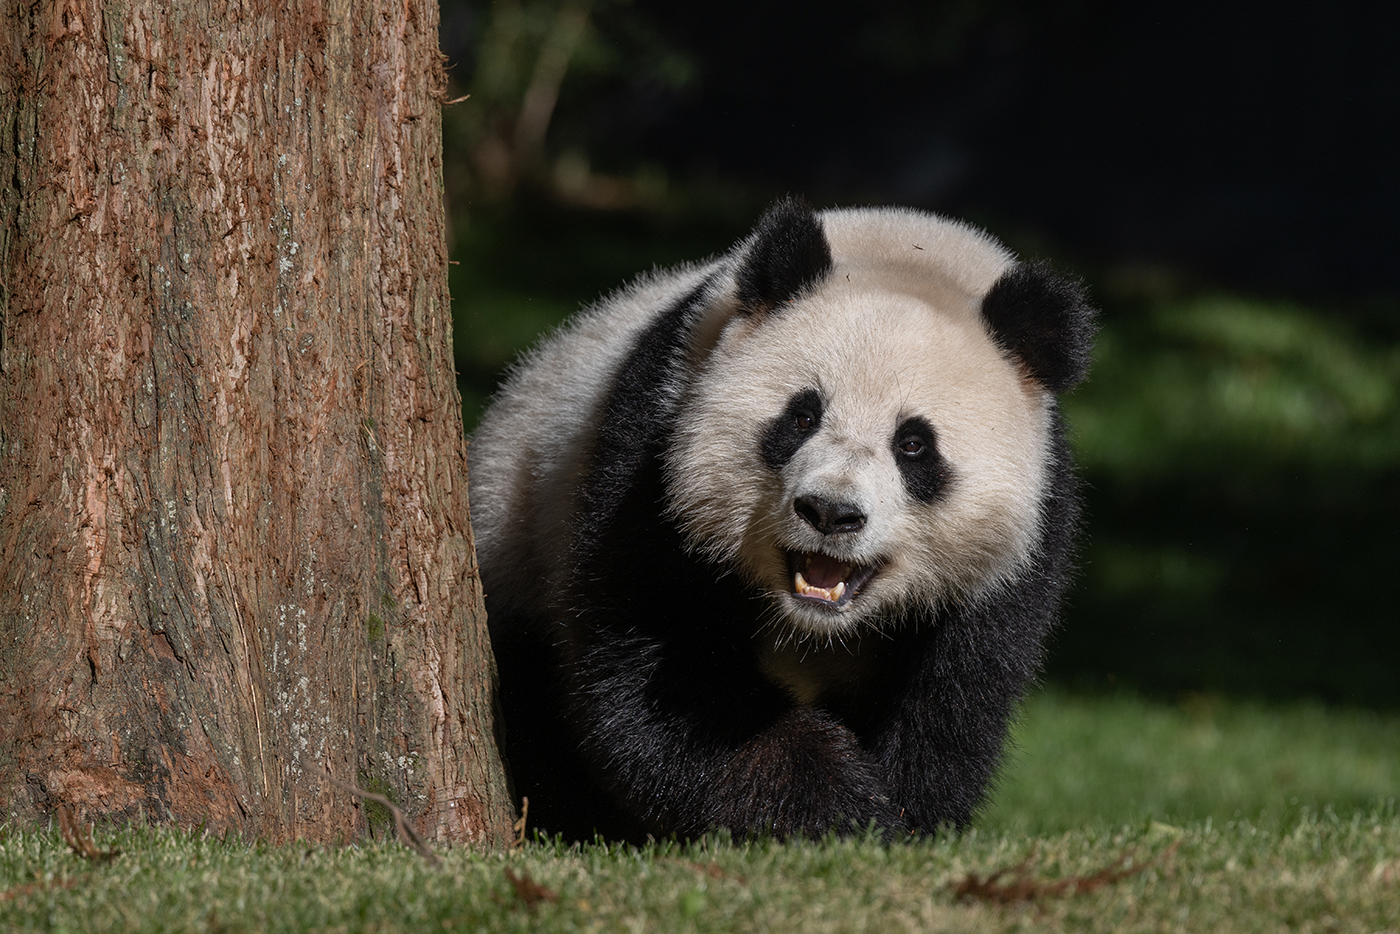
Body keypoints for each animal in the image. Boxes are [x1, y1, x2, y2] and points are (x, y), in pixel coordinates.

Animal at [470, 197, 1092, 840]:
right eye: (802, 417)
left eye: (914, 445)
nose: (830, 512)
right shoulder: (652, 445)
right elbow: (662, 672)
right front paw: (832, 803)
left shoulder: (1027, 538)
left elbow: (951, 706)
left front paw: (898, 815)